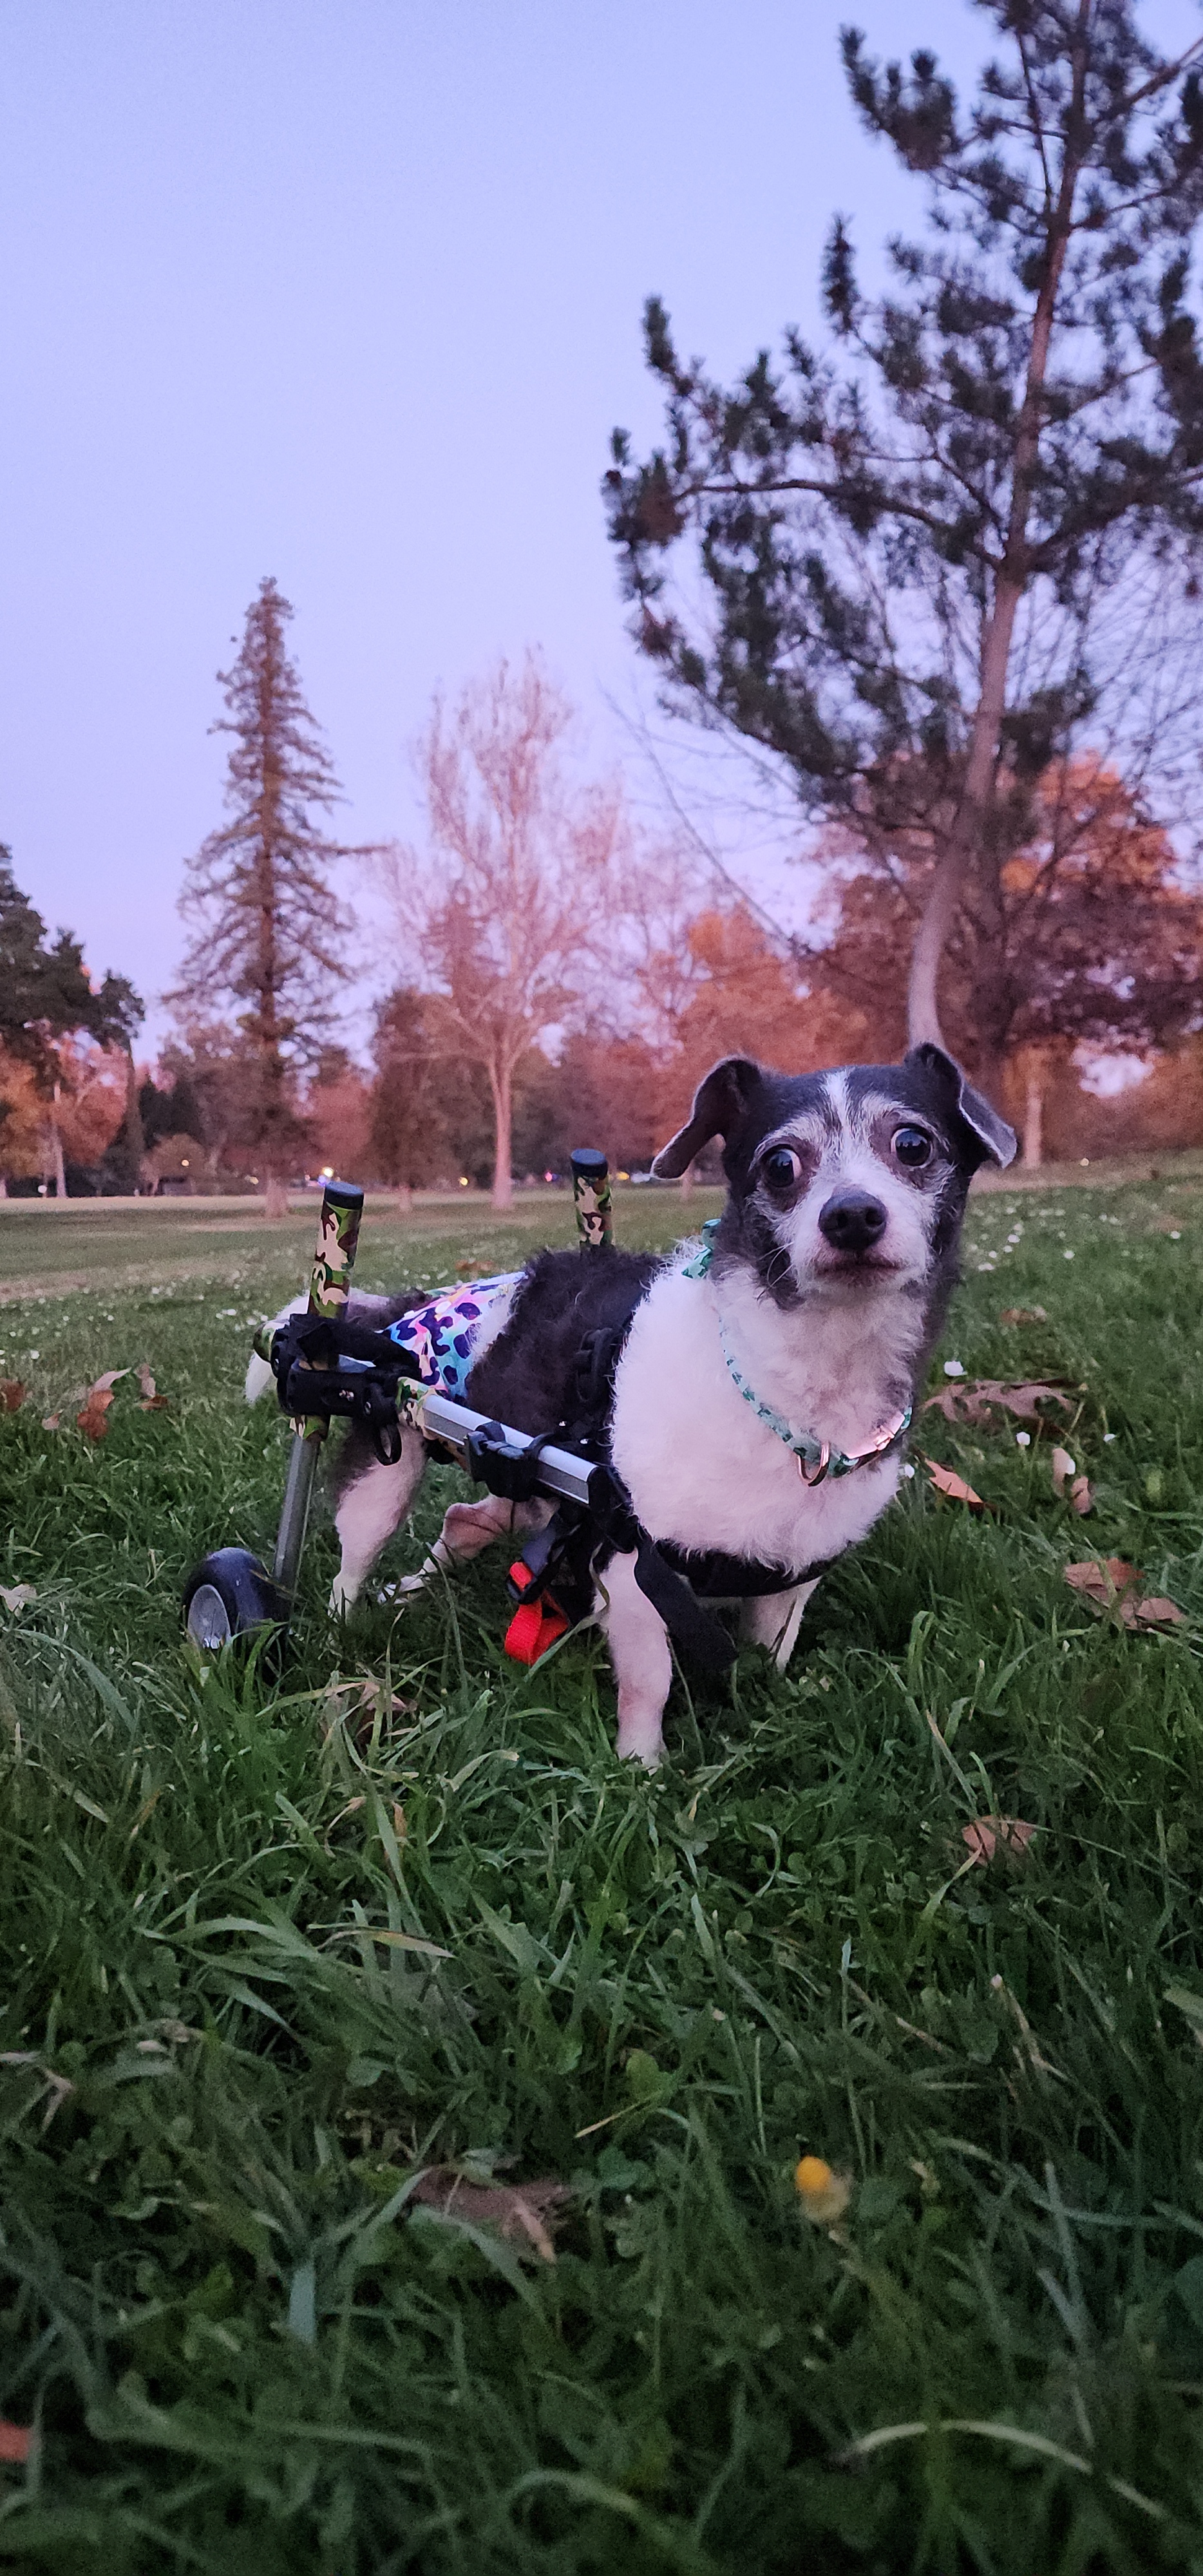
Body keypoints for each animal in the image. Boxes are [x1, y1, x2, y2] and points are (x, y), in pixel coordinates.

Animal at [252, 1036, 1015, 1762]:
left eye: (912, 1145)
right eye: (779, 1165)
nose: (852, 1214)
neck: (795, 1394)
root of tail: (407, 1310)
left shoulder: (791, 1581)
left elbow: (771, 1654)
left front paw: (764, 1711)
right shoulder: (631, 1571)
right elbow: (649, 1684)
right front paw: (640, 1767)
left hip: (531, 1483)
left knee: (466, 1518)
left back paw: (420, 1581)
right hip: (384, 1469)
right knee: (355, 1556)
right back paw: (337, 1623)